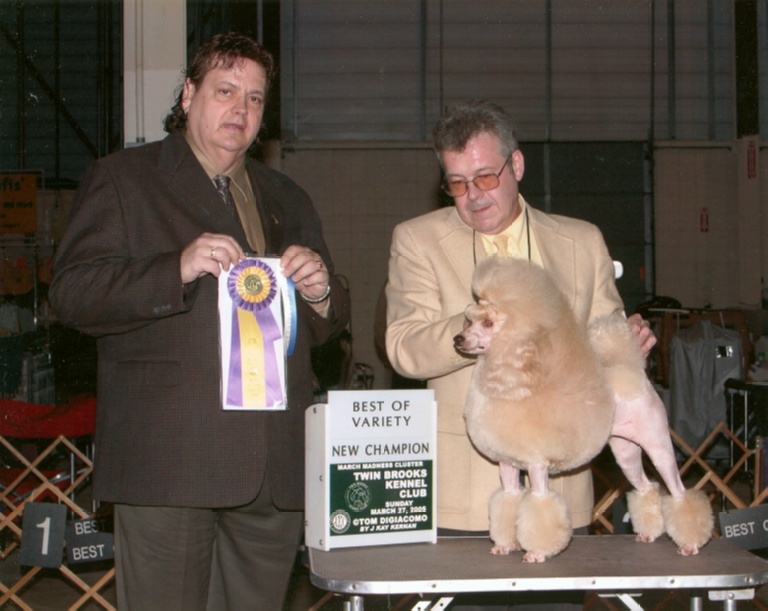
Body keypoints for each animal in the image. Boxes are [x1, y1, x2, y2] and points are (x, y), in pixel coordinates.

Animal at [453, 257, 713, 563]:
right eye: (469, 320)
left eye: (489, 323)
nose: (458, 339)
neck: (509, 381)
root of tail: (634, 374)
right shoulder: (508, 464)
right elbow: (507, 502)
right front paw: (505, 545)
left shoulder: (537, 465)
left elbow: (540, 506)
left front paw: (537, 552)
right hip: (626, 450)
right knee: (646, 487)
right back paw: (649, 533)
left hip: (657, 443)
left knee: (679, 490)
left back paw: (691, 543)